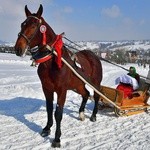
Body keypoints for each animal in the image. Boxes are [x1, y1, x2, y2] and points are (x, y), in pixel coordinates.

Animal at [14, 4, 102, 148]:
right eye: (22, 24)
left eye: (34, 25)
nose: (18, 49)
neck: (52, 60)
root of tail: (94, 56)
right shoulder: (47, 88)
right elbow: (49, 109)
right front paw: (47, 128)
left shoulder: (62, 90)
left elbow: (58, 113)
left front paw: (56, 138)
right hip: (78, 85)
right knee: (85, 94)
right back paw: (81, 113)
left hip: (95, 83)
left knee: (96, 96)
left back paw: (93, 115)